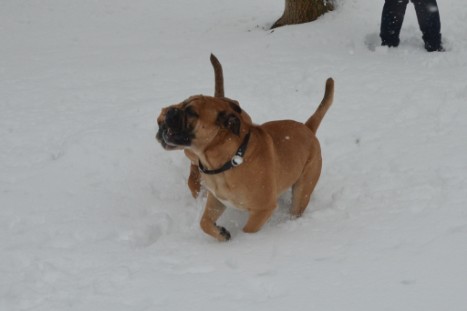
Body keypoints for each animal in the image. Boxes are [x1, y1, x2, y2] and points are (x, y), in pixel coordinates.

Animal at [157, 58, 332, 244]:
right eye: (183, 102)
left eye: (191, 112)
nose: (170, 110)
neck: (227, 160)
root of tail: (308, 128)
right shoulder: (216, 200)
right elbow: (204, 222)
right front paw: (221, 233)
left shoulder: (263, 209)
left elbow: (248, 230)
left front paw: (243, 243)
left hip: (303, 189)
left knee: (297, 206)